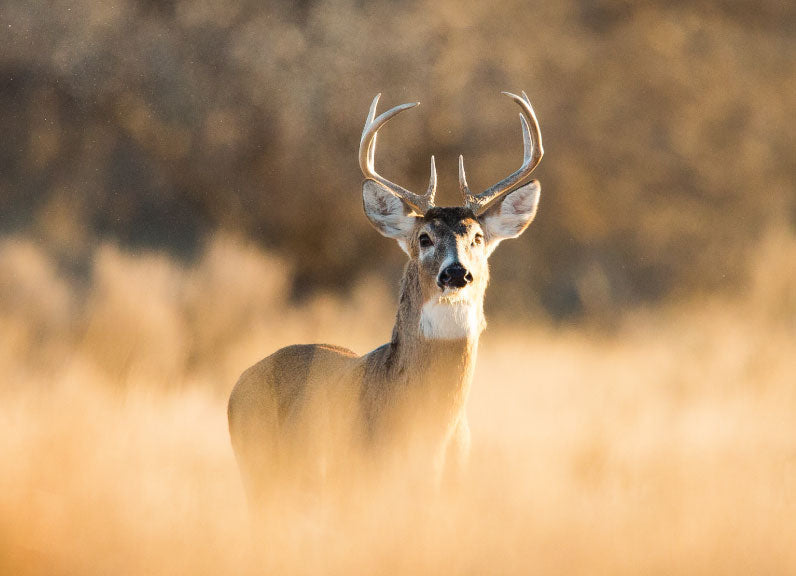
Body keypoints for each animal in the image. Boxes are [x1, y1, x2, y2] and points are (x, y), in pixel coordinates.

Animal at [228, 91, 543, 509]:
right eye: (424, 237)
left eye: (477, 237)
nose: (456, 273)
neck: (428, 433)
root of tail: (238, 385)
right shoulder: (362, 484)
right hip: (258, 471)